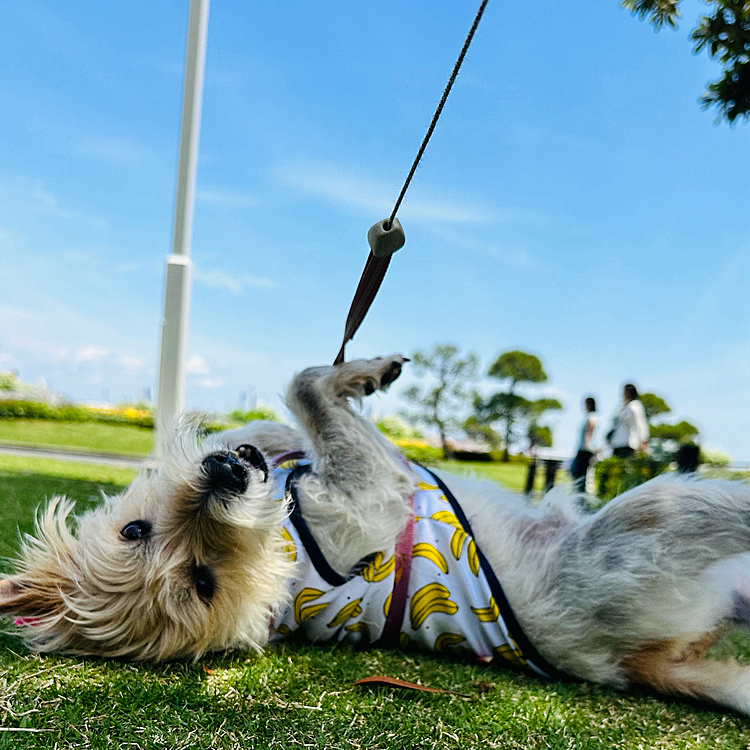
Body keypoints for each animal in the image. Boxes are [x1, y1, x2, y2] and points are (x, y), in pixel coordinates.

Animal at [1, 358, 750, 716]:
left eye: (135, 528)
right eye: (203, 583)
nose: (224, 475)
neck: (282, 546)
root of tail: (633, 662)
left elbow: (294, 410)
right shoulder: (371, 495)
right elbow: (307, 389)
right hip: (652, 519)